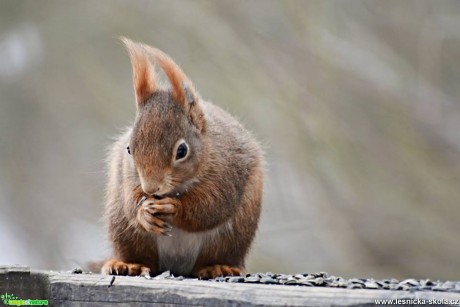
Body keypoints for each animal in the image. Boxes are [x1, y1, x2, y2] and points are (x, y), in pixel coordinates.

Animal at [101, 38, 266, 280]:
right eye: (129, 149)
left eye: (181, 151)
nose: (151, 189)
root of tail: (177, 267)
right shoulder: (125, 173)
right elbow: (131, 200)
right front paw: (143, 212)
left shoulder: (228, 171)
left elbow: (212, 206)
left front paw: (175, 207)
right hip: (125, 230)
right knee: (141, 254)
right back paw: (130, 265)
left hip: (231, 236)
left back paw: (217, 267)